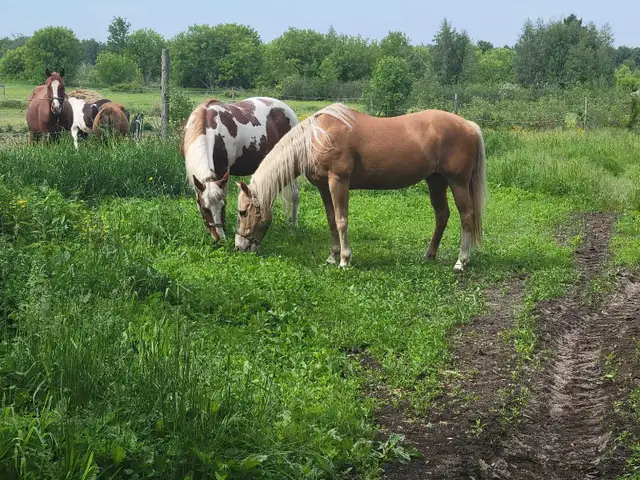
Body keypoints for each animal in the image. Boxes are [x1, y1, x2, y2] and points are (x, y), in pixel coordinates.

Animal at [181, 97, 300, 242]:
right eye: (205, 209)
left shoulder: (223, 172)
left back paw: (293, 227)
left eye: (224, 205)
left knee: (294, 195)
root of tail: (288, 109)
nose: (219, 239)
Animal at [234, 103, 487, 272]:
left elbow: (341, 220)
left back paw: (461, 261)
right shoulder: (324, 187)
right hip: (436, 181)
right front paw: (332, 256)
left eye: (243, 212)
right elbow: (331, 220)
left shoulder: (338, 181)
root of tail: (470, 126)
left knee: (467, 217)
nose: (239, 247)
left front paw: (345, 260)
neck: (317, 137)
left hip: (457, 182)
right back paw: (429, 255)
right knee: (442, 215)